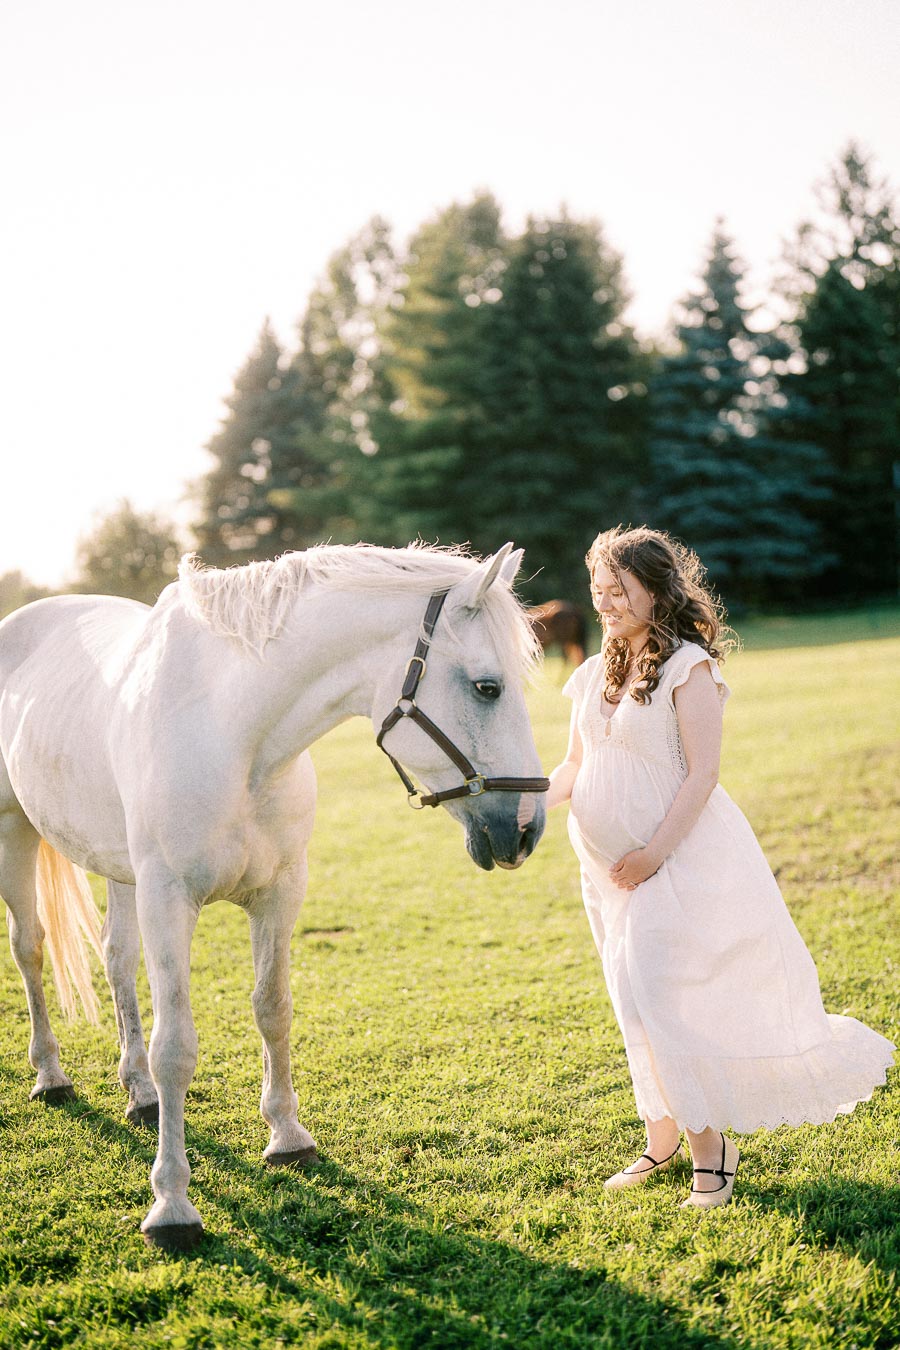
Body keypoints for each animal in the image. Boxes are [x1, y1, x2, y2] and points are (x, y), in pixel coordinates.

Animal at [0, 542, 548, 1249]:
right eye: (488, 687)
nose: (527, 829)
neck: (236, 737)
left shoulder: (280, 893)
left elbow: (273, 1009)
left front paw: (287, 1137)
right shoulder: (168, 899)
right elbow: (176, 1047)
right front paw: (172, 1204)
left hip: (120, 873)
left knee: (116, 960)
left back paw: (139, 1095)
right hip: (17, 834)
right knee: (31, 950)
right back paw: (50, 1075)